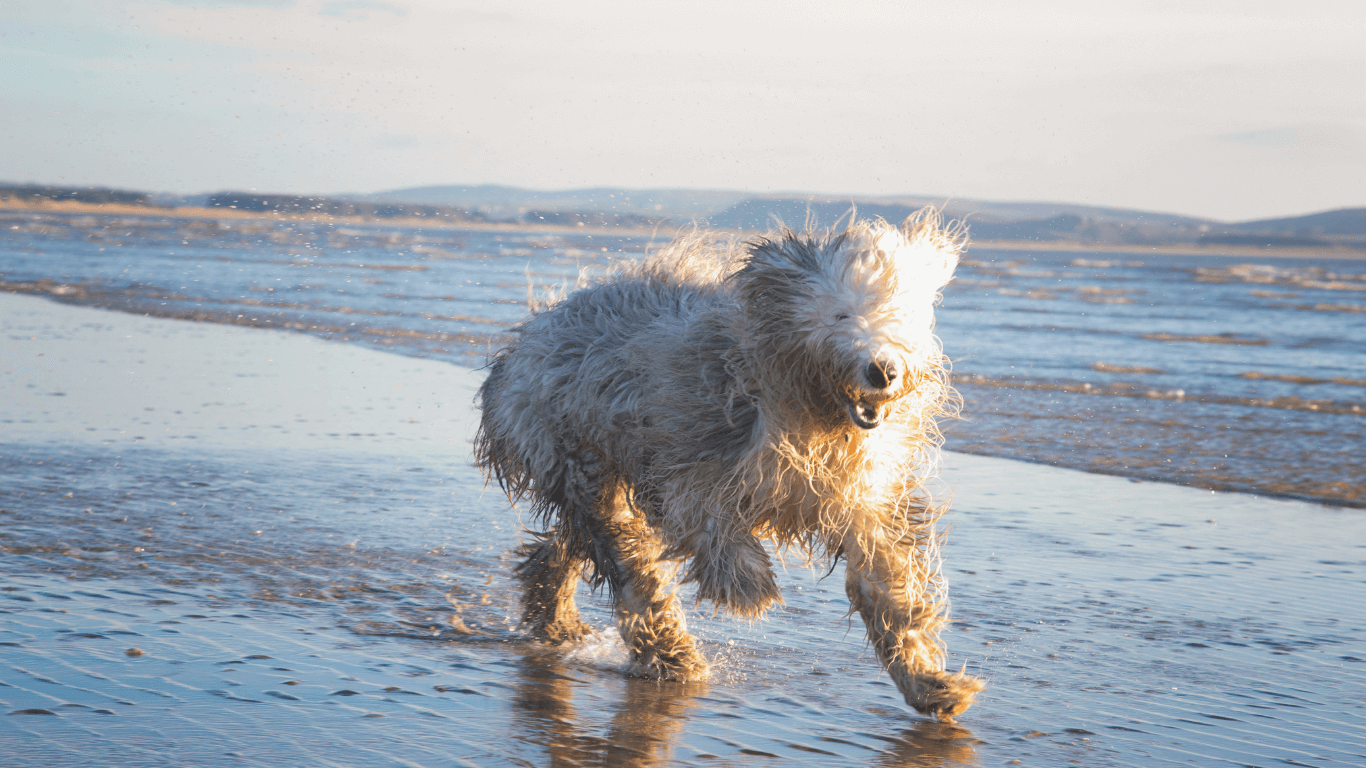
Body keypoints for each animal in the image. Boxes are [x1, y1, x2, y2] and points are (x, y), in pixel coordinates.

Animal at [478, 210, 983, 716]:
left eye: (900, 315)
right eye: (840, 314)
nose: (882, 371)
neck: (811, 414)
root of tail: (534, 330)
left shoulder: (863, 501)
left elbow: (888, 588)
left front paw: (931, 683)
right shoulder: (689, 456)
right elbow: (709, 523)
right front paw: (748, 584)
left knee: (567, 547)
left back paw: (555, 618)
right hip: (578, 456)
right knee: (630, 563)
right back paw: (673, 657)